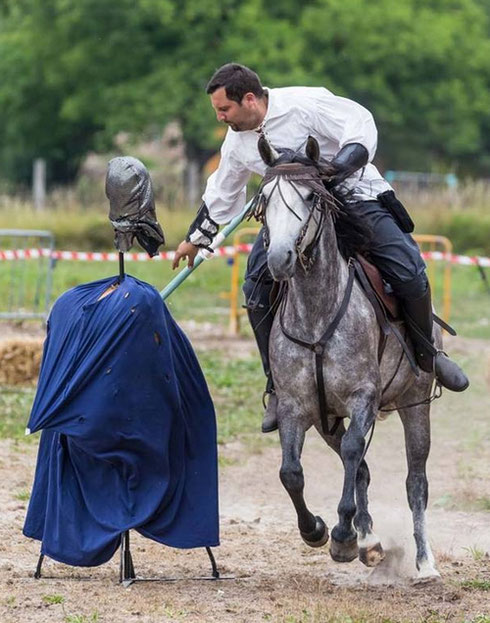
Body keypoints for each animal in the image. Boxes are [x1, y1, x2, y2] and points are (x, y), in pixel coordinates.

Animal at [258, 138, 442, 584]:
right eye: (265, 199)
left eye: (311, 196)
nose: (279, 259)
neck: (317, 316)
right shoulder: (297, 406)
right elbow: (292, 473)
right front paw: (316, 530)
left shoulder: (362, 399)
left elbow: (357, 452)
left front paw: (342, 536)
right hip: (328, 419)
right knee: (358, 467)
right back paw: (369, 540)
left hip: (415, 405)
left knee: (415, 481)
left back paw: (423, 561)